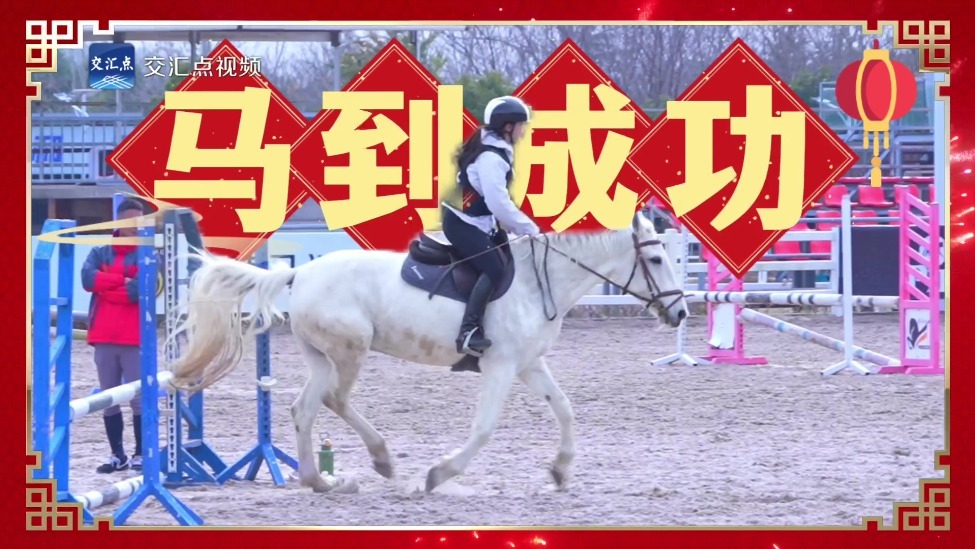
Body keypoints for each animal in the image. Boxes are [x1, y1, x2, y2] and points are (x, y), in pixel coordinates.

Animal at [169, 211, 688, 494]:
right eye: (655, 258)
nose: (681, 312)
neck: (539, 281)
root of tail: (302, 273)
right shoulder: (500, 366)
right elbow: (483, 429)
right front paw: (439, 474)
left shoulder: (528, 364)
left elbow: (564, 409)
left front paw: (560, 471)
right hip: (351, 349)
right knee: (335, 400)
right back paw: (380, 460)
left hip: (322, 355)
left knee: (305, 408)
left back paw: (320, 481)